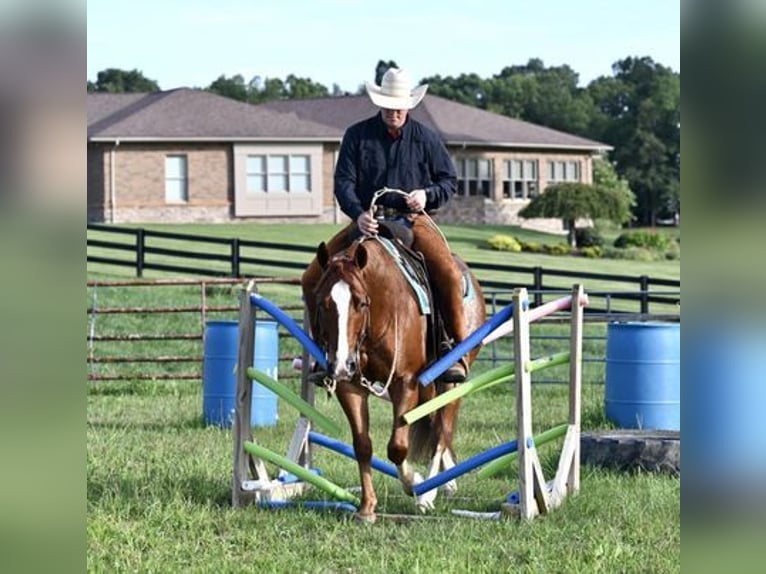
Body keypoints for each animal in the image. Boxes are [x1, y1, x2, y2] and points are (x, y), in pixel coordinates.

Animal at [312, 234, 486, 520]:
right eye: (322, 303)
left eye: (361, 302)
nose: (340, 364)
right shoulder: (350, 386)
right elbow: (363, 445)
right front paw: (367, 507)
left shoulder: (405, 382)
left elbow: (397, 447)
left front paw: (415, 484)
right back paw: (447, 482)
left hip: (449, 383)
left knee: (441, 432)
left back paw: (430, 493)